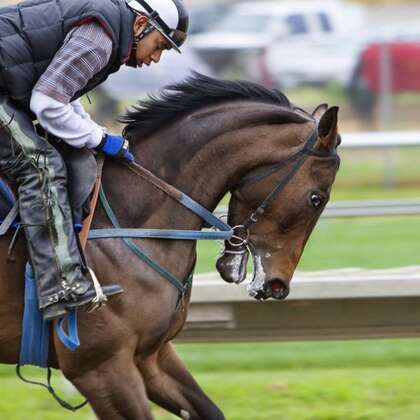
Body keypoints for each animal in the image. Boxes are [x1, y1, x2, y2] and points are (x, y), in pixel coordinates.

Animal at [0, 74, 342, 418]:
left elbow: (209, 410)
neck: (130, 218)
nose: (277, 285)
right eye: (317, 198)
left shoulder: (151, 355)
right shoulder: (99, 367)